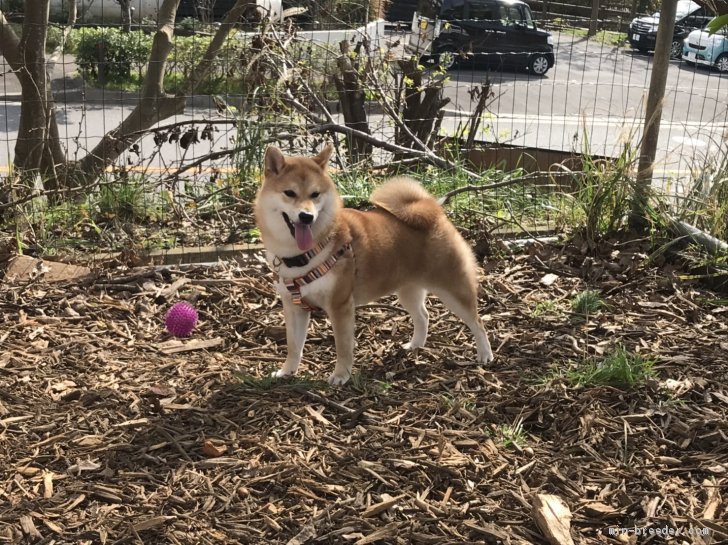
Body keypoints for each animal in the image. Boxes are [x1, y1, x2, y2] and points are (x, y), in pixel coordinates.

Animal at [252, 144, 494, 382]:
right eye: (290, 193)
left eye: (315, 194)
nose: (306, 216)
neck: (303, 255)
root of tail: (433, 210)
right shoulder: (294, 306)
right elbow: (294, 347)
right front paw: (286, 372)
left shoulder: (340, 305)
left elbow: (343, 347)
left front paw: (340, 376)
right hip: (408, 290)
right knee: (423, 316)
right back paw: (415, 346)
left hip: (453, 288)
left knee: (477, 322)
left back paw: (485, 355)